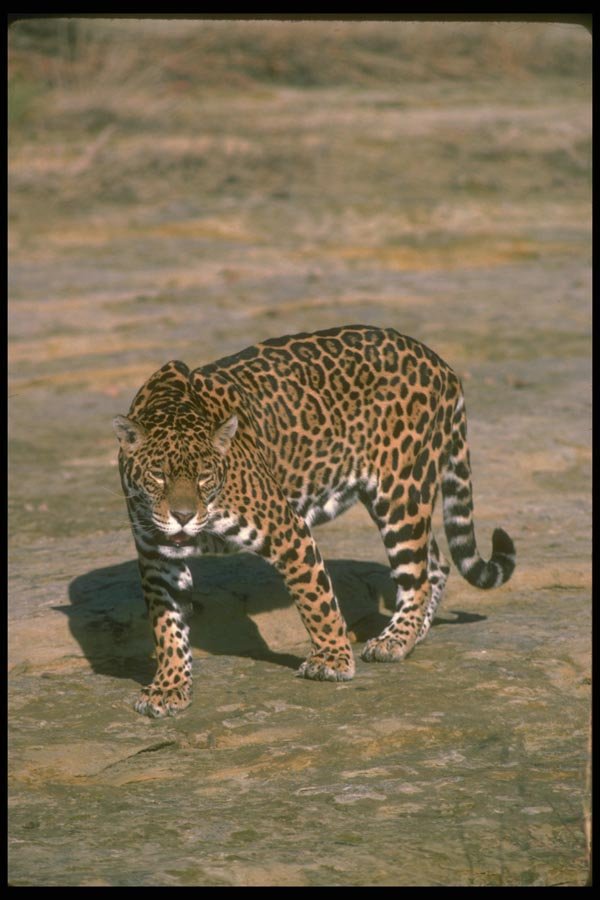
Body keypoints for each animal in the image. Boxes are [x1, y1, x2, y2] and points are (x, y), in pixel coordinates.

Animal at [113, 324, 515, 717]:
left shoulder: (287, 532)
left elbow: (315, 599)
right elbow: (167, 628)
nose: (183, 517)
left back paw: (395, 641)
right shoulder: (158, 560)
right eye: (158, 475)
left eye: (204, 477)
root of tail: (439, 364)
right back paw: (414, 634)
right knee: (437, 563)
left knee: (416, 574)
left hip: (401, 492)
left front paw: (332, 661)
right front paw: (169, 687)